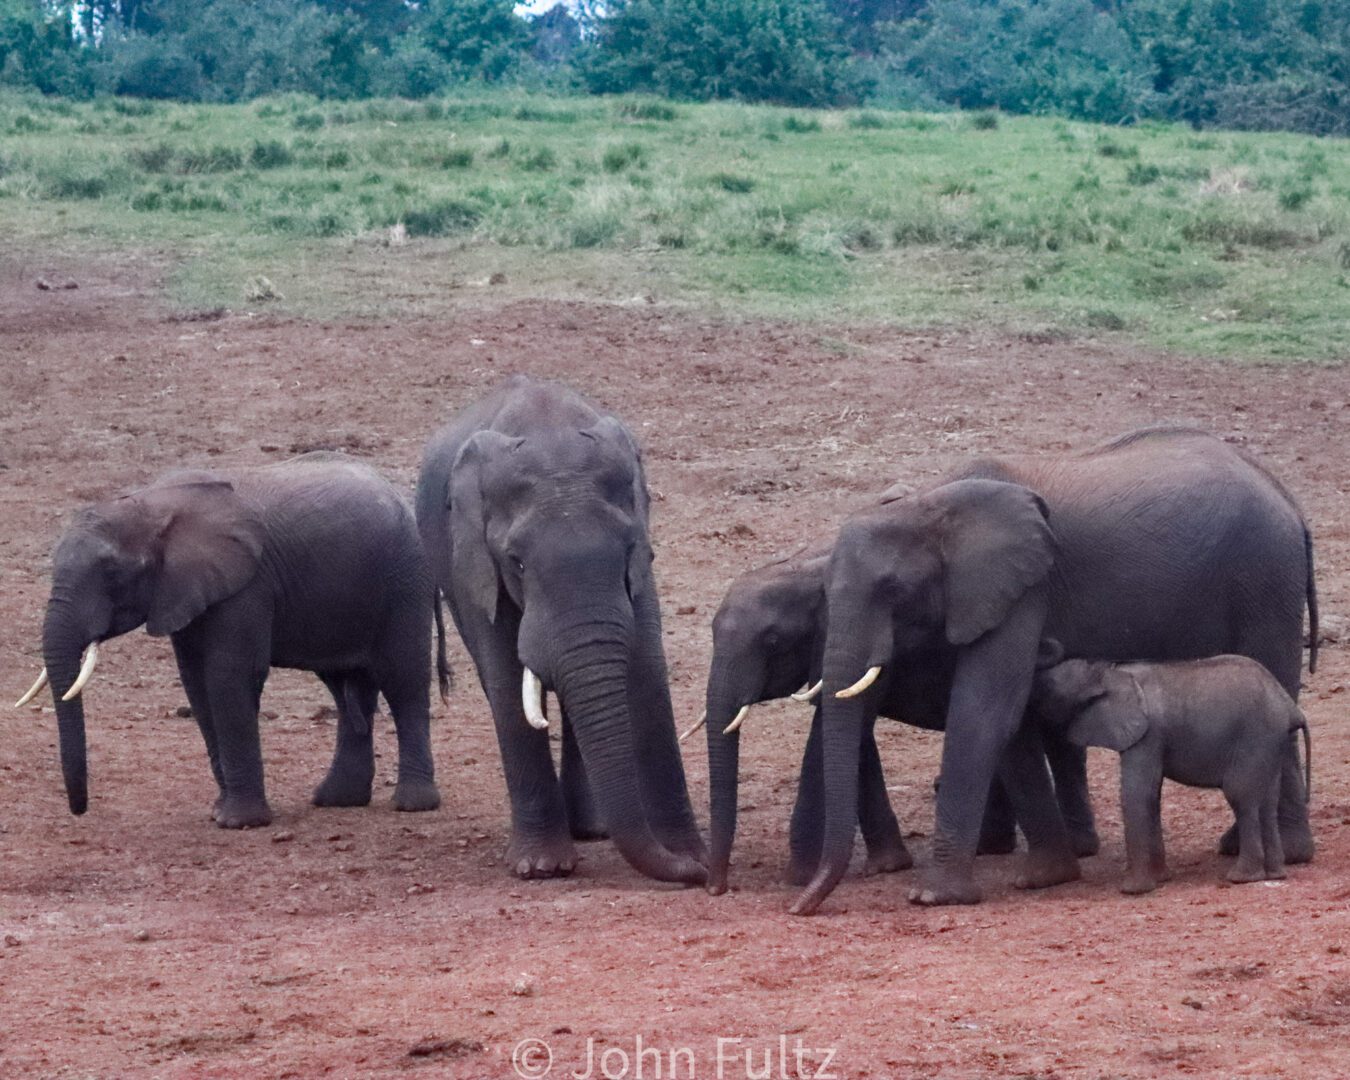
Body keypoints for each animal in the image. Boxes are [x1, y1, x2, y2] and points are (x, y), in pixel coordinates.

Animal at [14, 453, 442, 826]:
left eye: (114, 574)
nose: (80, 811)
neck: (150, 505)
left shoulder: (247, 585)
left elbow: (228, 677)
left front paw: (239, 823)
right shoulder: (182, 589)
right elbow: (197, 685)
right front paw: (220, 813)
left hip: (405, 578)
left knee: (403, 680)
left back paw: (413, 805)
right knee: (348, 688)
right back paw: (337, 801)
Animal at [413, 375, 707, 880]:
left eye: (630, 547)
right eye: (516, 561)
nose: (703, 878)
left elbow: (647, 669)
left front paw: (692, 855)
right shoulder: (474, 562)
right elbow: (506, 679)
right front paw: (540, 868)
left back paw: (592, 829)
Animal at [696, 548, 1096, 896]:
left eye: (772, 640)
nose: (717, 888)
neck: (803, 569)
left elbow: (834, 732)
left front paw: (798, 878)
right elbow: (857, 739)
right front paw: (888, 866)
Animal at [1031, 650, 1306, 896]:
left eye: (1049, 689)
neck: (1108, 673)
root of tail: (1290, 708)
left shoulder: (1148, 734)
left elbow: (1138, 793)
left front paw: (1133, 891)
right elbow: (1152, 794)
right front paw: (1161, 878)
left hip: (1254, 739)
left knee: (1241, 797)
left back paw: (1241, 878)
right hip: (1271, 741)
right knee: (1266, 801)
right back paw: (1275, 874)